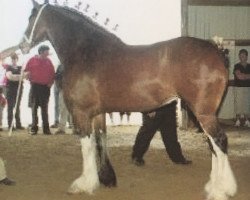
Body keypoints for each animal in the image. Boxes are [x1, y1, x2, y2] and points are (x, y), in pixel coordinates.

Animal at [18, 0, 236, 199]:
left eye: (31, 17)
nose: (22, 45)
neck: (87, 52)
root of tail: (215, 49)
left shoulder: (82, 112)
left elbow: (87, 146)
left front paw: (84, 184)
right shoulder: (98, 113)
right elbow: (100, 141)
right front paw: (106, 179)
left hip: (203, 112)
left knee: (219, 141)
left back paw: (220, 190)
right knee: (213, 144)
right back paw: (214, 186)